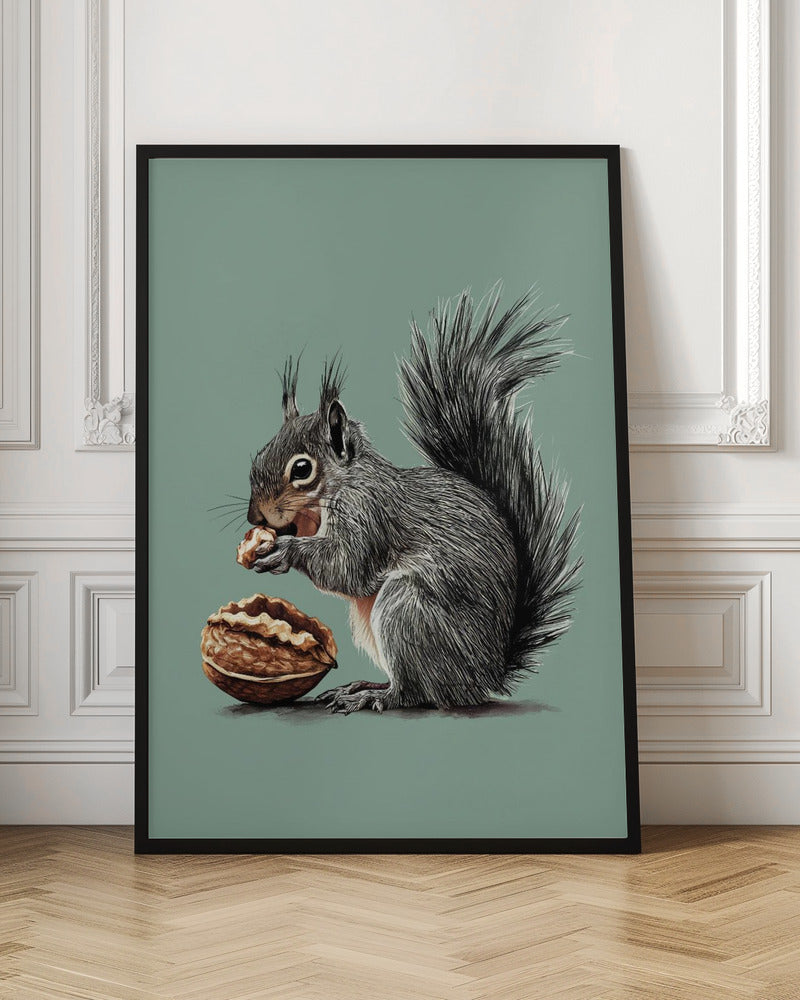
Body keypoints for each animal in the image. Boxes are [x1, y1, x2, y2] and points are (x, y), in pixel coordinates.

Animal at [246, 283, 582, 714]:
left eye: (302, 469)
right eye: (259, 455)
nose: (255, 518)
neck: (337, 490)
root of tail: (485, 677)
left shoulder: (369, 514)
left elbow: (347, 568)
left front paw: (285, 551)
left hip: (407, 612)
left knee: (415, 693)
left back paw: (375, 696)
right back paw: (362, 685)